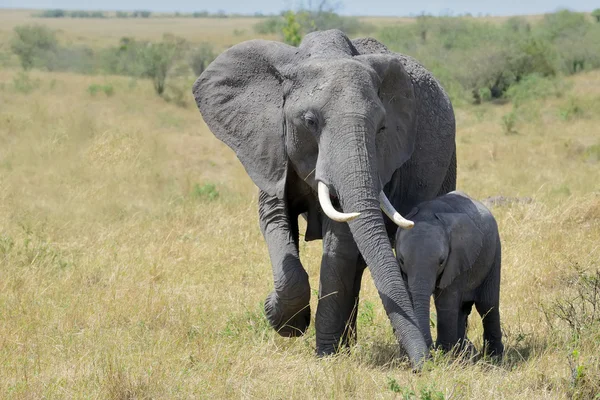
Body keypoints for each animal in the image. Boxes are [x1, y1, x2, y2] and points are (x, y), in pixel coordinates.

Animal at [192, 30, 454, 368]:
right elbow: (274, 218)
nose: (424, 365)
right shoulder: (270, 145)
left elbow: (340, 241)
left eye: (382, 128)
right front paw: (281, 317)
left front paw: (323, 355)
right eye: (310, 121)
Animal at [394, 191, 502, 360]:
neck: (428, 213)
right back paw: (465, 354)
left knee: (487, 304)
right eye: (402, 260)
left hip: (494, 251)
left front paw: (444, 355)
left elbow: (446, 302)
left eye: (441, 261)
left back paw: (494, 358)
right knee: (464, 309)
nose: (430, 350)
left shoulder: (457, 258)